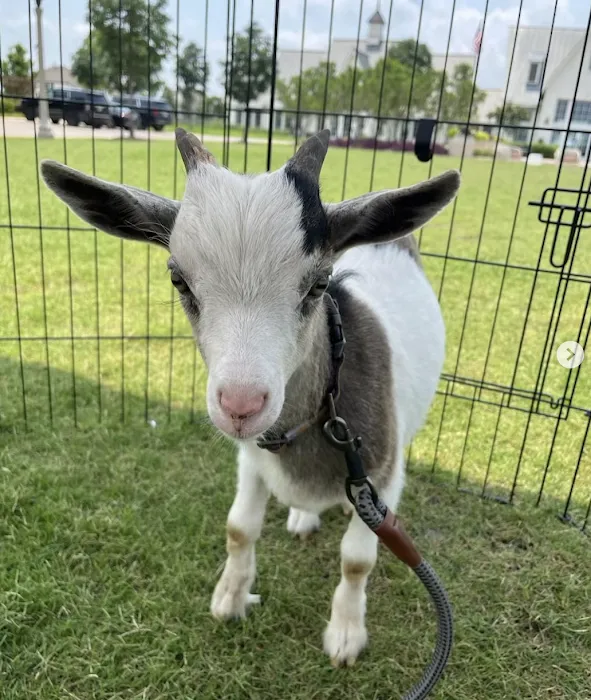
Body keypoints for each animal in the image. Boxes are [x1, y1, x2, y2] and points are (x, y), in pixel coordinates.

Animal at [41, 129, 459, 666]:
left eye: (319, 283)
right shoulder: (251, 456)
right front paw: (230, 598)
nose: (241, 405)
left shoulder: (383, 472)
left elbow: (357, 560)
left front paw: (345, 635)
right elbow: (239, 526)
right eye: (178, 279)